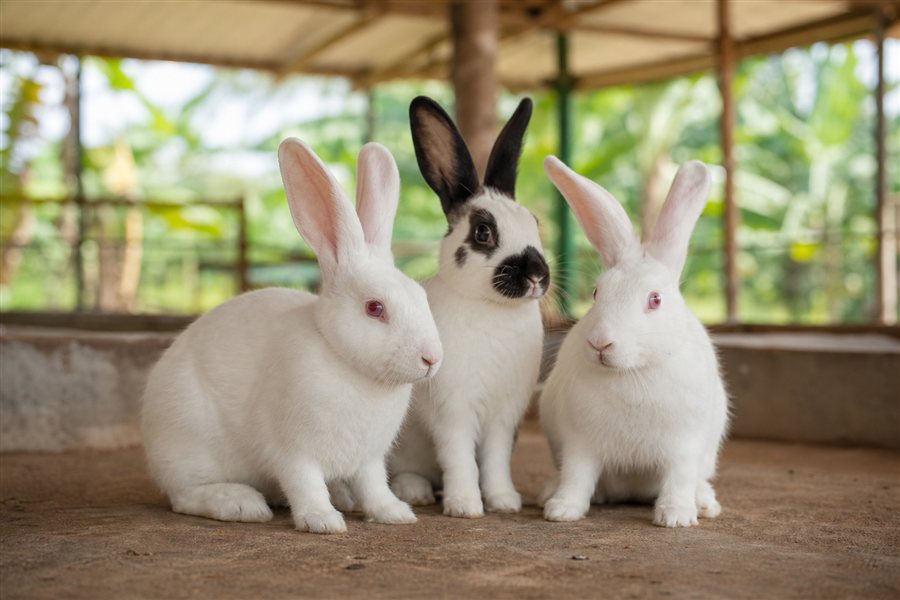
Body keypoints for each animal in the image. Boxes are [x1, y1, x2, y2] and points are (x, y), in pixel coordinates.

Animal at [140, 138, 443, 534]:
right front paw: (322, 521)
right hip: (190, 444)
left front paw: (394, 513)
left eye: (422, 296)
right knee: (185, 496)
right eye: (375, 308)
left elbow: (374, 485)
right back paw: (240, 504)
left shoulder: (369, 458)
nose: (432, 358)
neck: (345, 362)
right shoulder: (292, 451)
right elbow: (305, 484)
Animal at [387, 96, 550, 518]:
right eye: (483, 232)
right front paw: (465, 505)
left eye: (535, 223)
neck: (492, 307)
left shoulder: (503, 418)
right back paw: (416, 492)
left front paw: (504, 501)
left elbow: (494, 461)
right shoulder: (454, 412)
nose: (536, 275)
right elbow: (460, 458)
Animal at [538, 157, 729, 528]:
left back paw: (704, 503)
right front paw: (562, 511)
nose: (601, 343)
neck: (632, 372)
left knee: (697, 480)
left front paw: (676, 517)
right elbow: (576, 477)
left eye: (655, 299)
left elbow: (678, 479)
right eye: (597, 293)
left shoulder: (684, 445)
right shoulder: (580, 442)